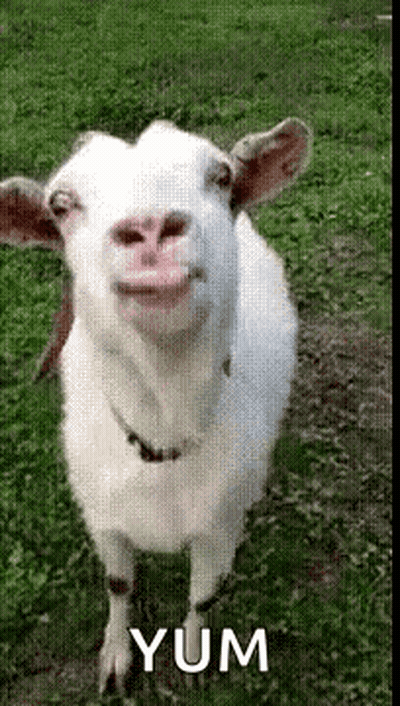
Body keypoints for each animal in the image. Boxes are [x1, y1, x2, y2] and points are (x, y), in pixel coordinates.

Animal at [0, 118, 311, 694]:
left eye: (220, 176)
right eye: (61, 203)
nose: (149, 228)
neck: (164, 431)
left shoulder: (219, 526)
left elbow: (203, 596)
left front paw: (192, 656)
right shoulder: (104, 518)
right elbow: (118, 585)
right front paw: (116, 659)